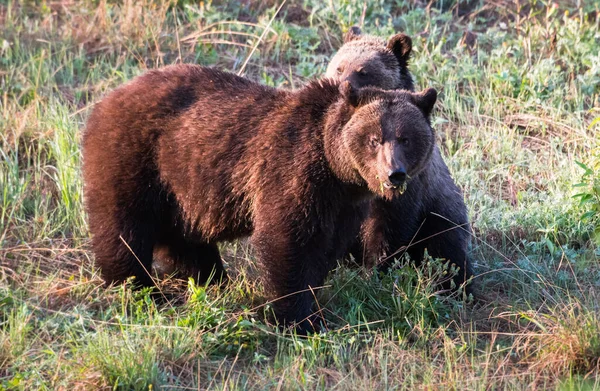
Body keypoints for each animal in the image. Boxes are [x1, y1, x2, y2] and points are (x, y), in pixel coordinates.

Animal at [82, 65, 438, 334]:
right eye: (374, 138)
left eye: (406, 138)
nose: (394, 174)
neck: (335, 169)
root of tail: (105, 99)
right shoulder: (292, 172)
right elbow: (287, 241)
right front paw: (298, 318)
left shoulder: (344, 204)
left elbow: (328, 247)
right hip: (135, 157)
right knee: (125, 227)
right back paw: (136, 287)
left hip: (178, 182)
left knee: (182, 235)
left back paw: (210, 278)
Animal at [326, 27, 472, 292]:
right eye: (339, 67)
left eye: (363, 71)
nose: (339, 86)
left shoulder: (406, 195)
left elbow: (387, 232)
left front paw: (374, 274)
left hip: (441, 218)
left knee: (449, 253)